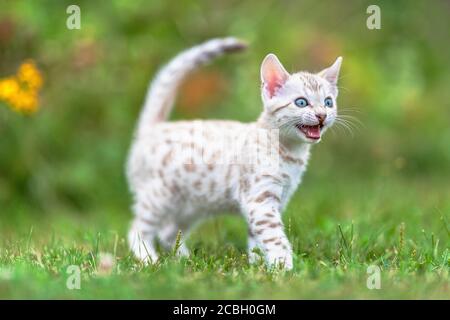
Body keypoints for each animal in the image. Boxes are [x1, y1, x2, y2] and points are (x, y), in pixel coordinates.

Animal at [126, 36, 342, 268]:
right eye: (301, 102)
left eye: (328, 102)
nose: (321, 115)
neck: (290, 153)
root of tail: (152, 128)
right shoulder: (260, 200)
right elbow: (274, 236)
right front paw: (283, 266)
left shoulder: (275, 199)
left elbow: (256, 239)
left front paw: (258, 265)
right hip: (158, 195)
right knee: (138, 229)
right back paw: (148, 259)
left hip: (191, 203)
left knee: (168, 232)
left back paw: (185, 260)